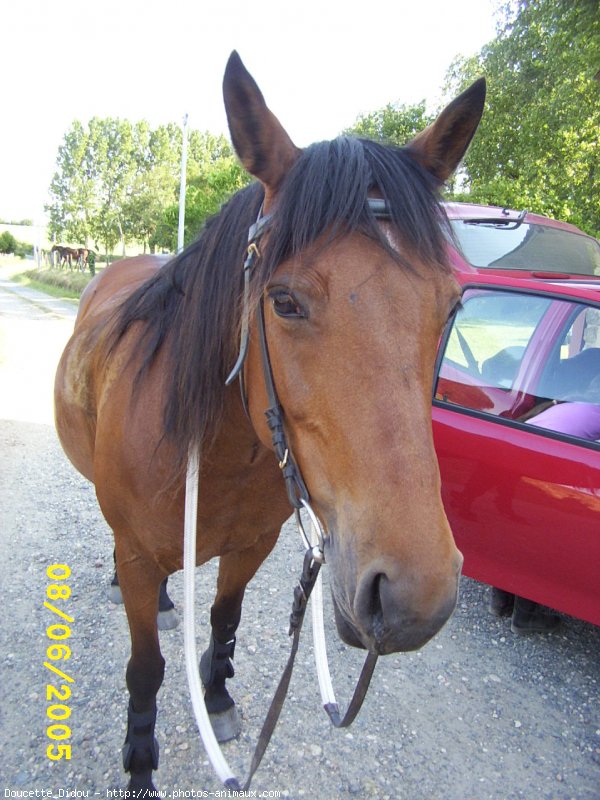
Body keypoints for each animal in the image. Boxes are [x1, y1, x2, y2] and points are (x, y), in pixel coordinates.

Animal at [55, 53, 488, 792]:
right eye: (283, 301)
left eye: (453, 305)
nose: (415, 596)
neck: (220, 452)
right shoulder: (138, 555)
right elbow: (146, 667)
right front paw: (140, 761)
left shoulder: (251, 545)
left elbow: (224, 619)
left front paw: (218, 694)